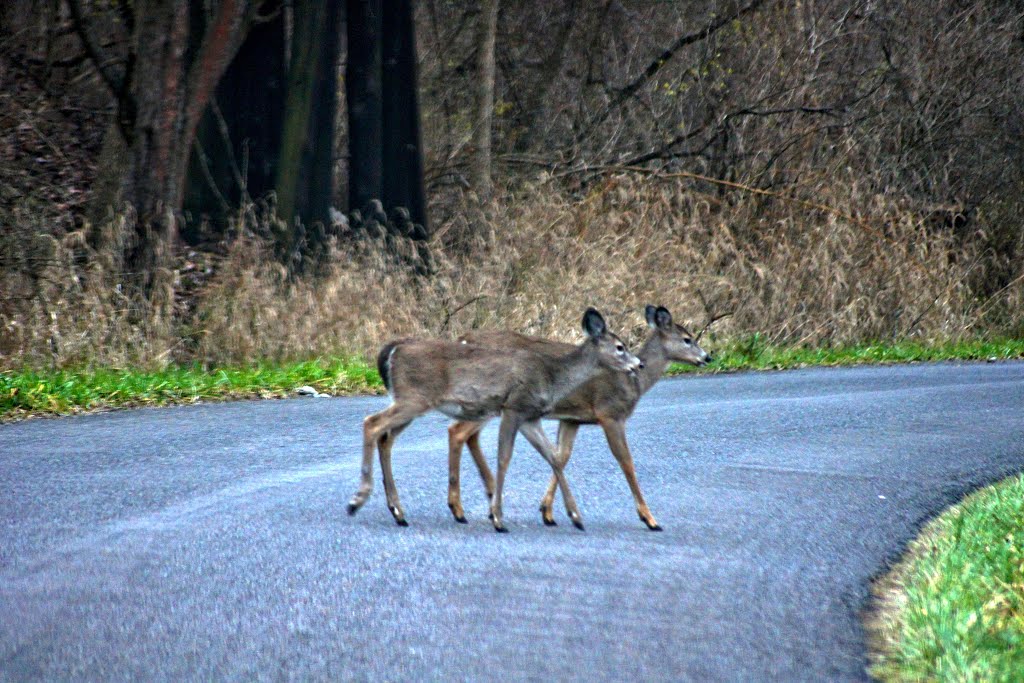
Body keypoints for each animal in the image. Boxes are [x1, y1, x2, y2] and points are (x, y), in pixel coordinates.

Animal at [348, 309, 643, 532]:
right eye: (620, 347)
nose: (638, 364)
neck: (552, 376)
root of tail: (393, 349)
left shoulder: (530, 417)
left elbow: (554, 458)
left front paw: (575, 516)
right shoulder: (513, 407)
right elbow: (504, 457)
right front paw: (499, 518)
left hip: (410, 401)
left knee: (385, 437)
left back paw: (398, 511)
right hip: (414, 398)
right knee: (371, 423)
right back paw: (358, 500)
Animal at [448, 305, 712, 532]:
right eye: (687, 339)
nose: (707, 357)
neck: (633, 383)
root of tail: (462, 338)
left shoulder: (572, 419)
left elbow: (561, 456)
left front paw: (548, 512)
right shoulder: (610, 413)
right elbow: (626, 461)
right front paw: (649, 518)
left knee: (469, 436)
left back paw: (485, 501)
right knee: (457, 431)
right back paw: (460, 509)